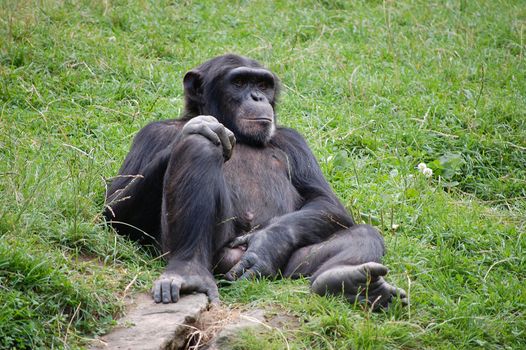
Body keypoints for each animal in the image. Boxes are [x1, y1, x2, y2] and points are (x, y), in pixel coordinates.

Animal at [103, 54, 408, 308]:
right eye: (239, 82)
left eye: (263, 83)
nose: (258, 97)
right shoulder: (151, 134)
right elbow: (115, 214)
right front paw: (196, 127)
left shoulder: (294, 140)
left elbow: (325, 201)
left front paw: (266, 244)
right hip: (213, 256)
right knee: (200, 146)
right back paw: (187, 272)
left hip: (286, 269)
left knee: (363, 235)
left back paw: (347, 284)